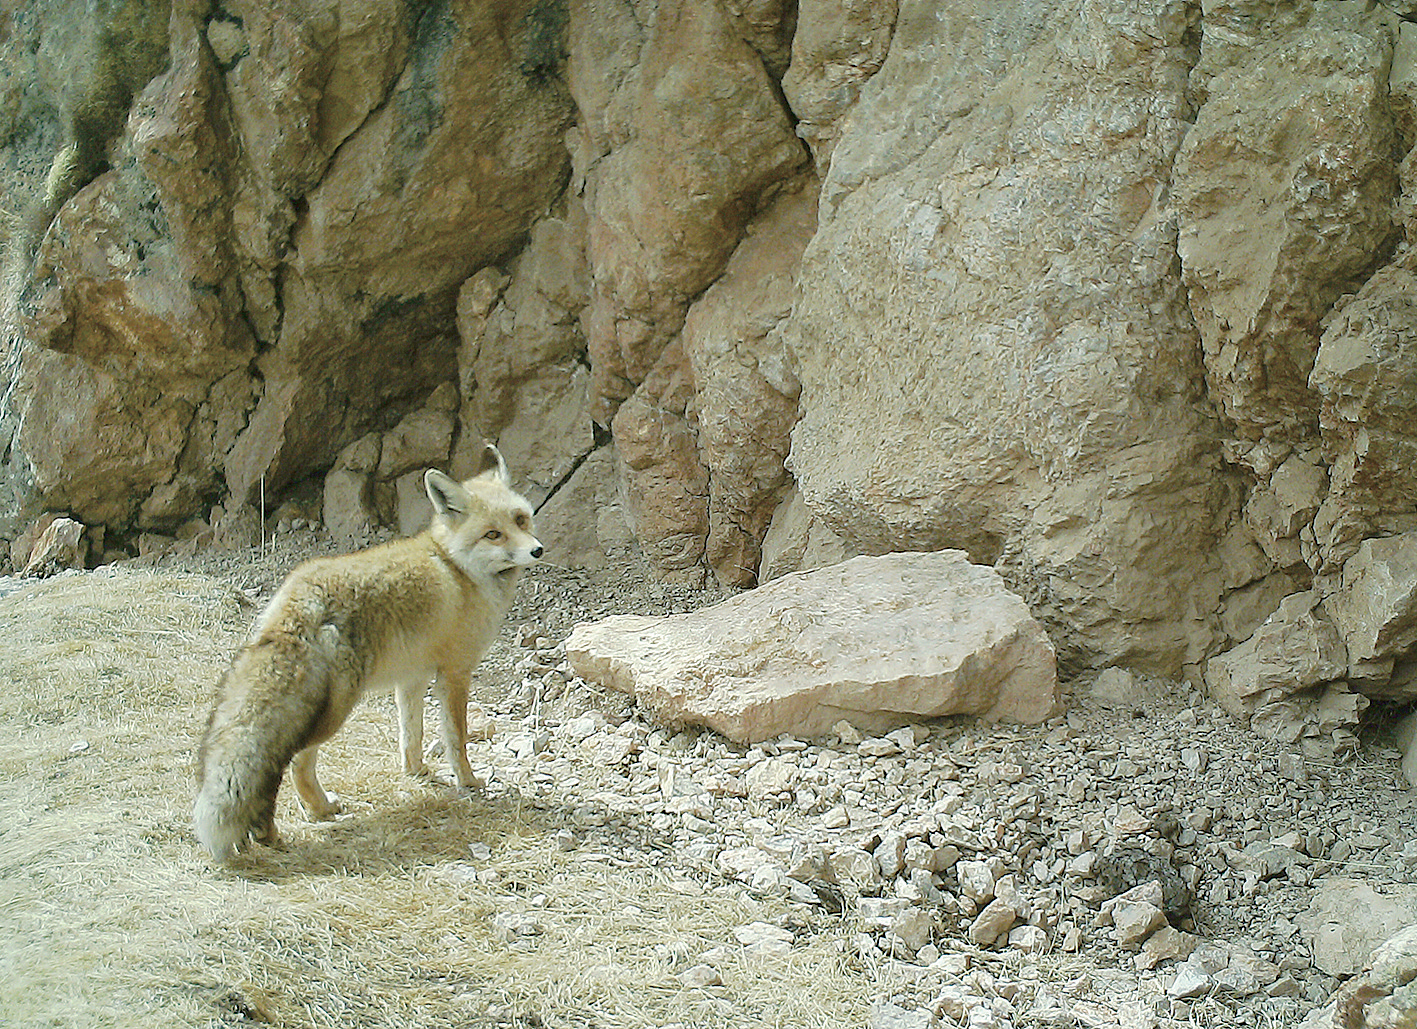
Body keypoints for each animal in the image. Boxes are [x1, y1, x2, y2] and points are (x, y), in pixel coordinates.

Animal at [191, 442, 538, 861]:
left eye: (521, 520)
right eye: (493, 534)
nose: (537, 551)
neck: (458, 568)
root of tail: (298, 601)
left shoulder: (412, 677)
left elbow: (411, 735)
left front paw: (417, 773)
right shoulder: (455, 673)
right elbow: (457, 740)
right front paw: (469, 782)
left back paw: (300, 817)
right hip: (336, 711)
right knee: (290, 762)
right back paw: (295, 820)